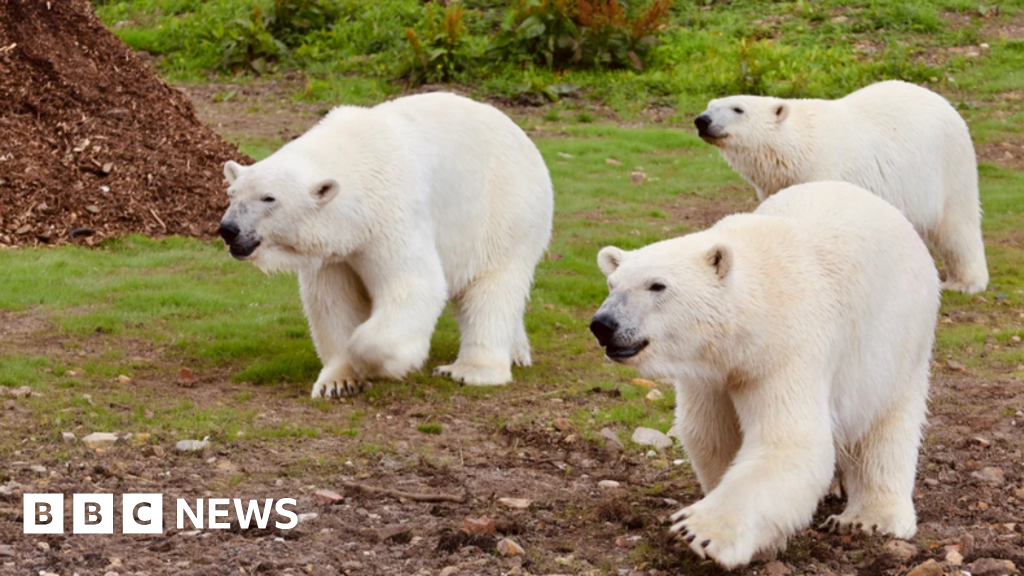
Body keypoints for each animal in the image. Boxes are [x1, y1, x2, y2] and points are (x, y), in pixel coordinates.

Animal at [218, 92, 554, 397]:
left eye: (269, 198)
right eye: (232, 193)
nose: (228, 230)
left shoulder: (391, 215)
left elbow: (413, 286)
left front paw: (375, 364)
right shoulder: (336, 249)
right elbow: (334, 302)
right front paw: (338, 382)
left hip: (503, 212)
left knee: (491, 287)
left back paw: (469, 371)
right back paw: (517, 352)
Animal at [589, 181, 940, 569]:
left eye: (657, 285)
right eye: (611, 284)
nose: (603, 324)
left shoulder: (789, 348)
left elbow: (788, 442)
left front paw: (698, 531)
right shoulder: (712, 372)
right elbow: (710, 435)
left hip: (899, 342)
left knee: (885, 428)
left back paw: (868, 519)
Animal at [694, 80, 988, 294]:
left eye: (738, 109)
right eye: (710, 104)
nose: (702, 120)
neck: (801, 146)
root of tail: (942, 101)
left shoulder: (825, 170)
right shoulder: (776, 184)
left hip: (948, 165)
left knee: (957, 224)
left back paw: (965, 282)